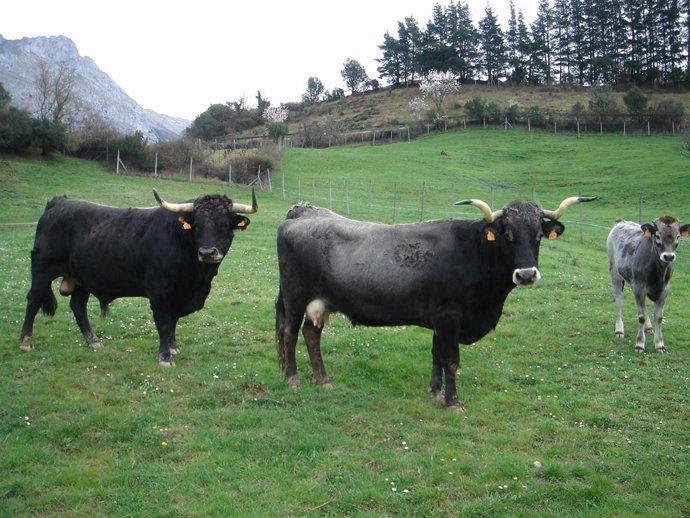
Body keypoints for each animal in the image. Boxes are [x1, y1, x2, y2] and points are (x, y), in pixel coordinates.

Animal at [19, 188, 257, 366]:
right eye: (196, 225)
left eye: (225, 225)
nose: (208, 252)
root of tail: (58, 202)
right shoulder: (159, 291)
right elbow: (163, 323)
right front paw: (164, 356)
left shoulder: (179, 295)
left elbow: (173, 321)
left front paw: (173, 347)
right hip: (42, 270)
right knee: (33, 300)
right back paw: (25, 342)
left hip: (82, 278)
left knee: (78, 306)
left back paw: (93, 340)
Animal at [275, 195, 596, 409]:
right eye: (507, 234)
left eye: (539, 234)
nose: (527, 274)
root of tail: (303, 211)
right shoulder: (449, 317)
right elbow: (451, 360)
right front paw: (453, 401)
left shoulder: (440, 321)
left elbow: (436, 355)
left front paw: (435, 391)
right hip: (295, 296)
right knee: (290, 332)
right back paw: (292, 379)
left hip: (320, 302)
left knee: (311, 334)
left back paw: (323, 380)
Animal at [606, 217, 689, 353]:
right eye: (657, 236)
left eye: (678, 236)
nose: (669, 256)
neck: (658, 274)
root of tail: (621, 221)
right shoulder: (639, 288)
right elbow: (641, 317)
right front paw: (639, 344)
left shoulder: (664, 291)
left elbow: (659, 317)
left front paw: (659, 344)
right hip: (615, 273)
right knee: (619, 299)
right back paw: (619, 330)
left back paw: (649, 327)